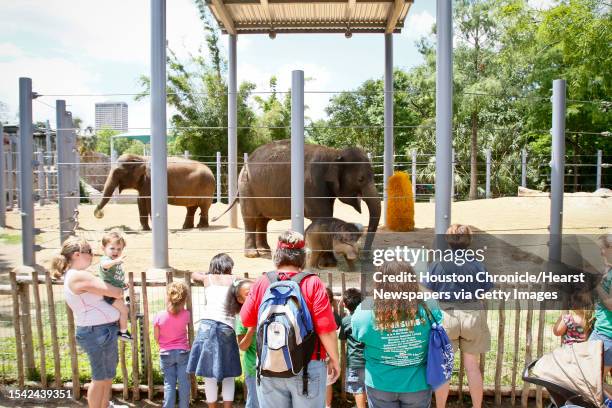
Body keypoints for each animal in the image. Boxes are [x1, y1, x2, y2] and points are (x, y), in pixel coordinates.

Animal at [214, 139, 378, 255]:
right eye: (361, 179)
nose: (366, 253)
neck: (334, 153)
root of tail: (244, 166)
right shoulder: (312, 184)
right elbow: (322, 215)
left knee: (262, 220)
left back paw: (265, 250)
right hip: (246, 187)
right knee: (250, 218)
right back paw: (253, 254)